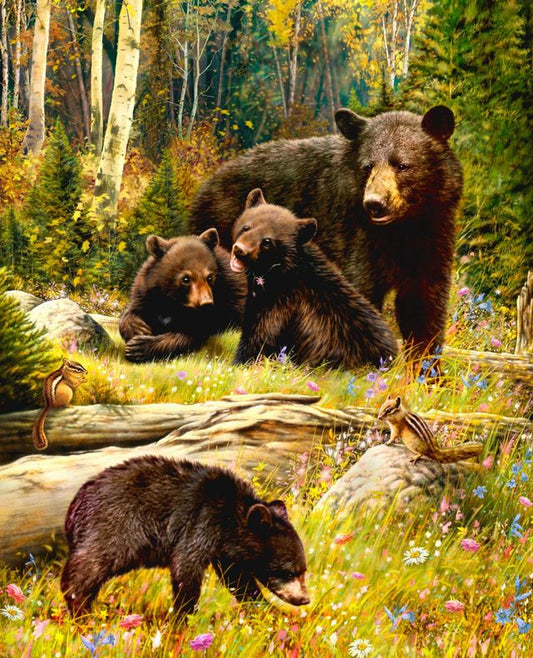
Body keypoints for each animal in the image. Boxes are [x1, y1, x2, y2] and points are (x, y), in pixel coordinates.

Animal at [60, 455, 309, 618]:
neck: (231, 516)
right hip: (112, 527)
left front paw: (266, 611)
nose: (304, 599)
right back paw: (81, 611)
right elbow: (186, 568)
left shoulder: (226, 551)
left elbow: (239, 580)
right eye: (289, 571)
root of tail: (74, 506)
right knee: (88, 567)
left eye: (303, 570)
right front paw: (183, 617)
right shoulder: (202, 521)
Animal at [119, 228, 246, 363]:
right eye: (186, 279)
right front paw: (137, 327)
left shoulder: (229, 296)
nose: (206, 303)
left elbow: (190, 334)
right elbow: (133, 309)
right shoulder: (146, 290)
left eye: (210, 277)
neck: (174, 302)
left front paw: (139, 347)